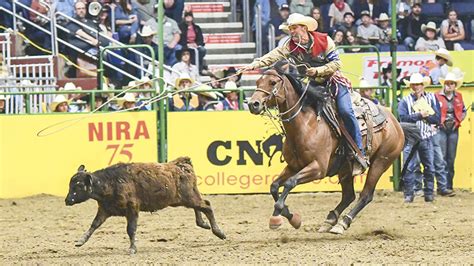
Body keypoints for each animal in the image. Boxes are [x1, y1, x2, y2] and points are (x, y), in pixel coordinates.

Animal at [248, 69, 404, 234]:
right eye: (258, 82)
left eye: (272, 82)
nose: (253, 104)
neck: (306, 126)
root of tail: (395, 121)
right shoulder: (293, 167)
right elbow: (274, 186)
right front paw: (291, 217)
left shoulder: (318, 168)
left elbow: (290, 183)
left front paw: (279, 217)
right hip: (345, 168)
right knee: (349, 195)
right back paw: (330, 220)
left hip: (380, 162)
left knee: (366, 195)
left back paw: (342, 223)